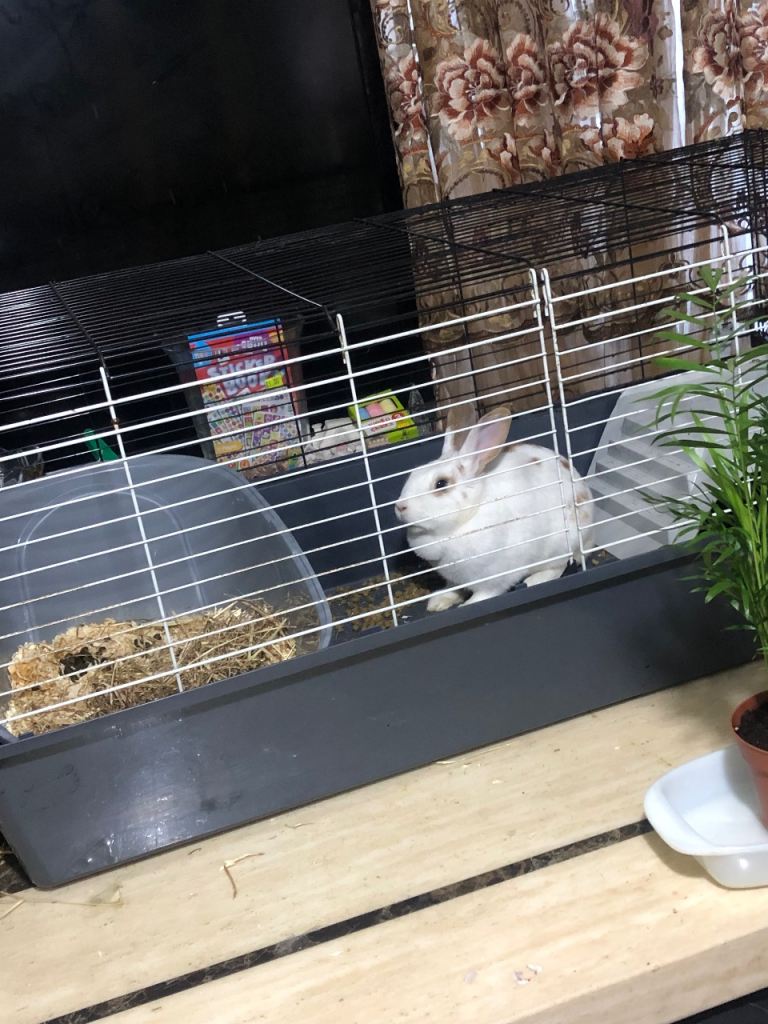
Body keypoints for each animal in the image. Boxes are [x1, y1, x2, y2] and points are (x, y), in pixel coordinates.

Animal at [394, 404, 593, 612]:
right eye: (413, 473)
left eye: (441, 484)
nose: (400, 506)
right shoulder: (454, 578)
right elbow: (453, 588)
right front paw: (438, 601)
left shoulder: (496, 578)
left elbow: (486, 594)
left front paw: (468, 605)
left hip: (561, 544)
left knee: (559, 566)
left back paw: (534, 580)